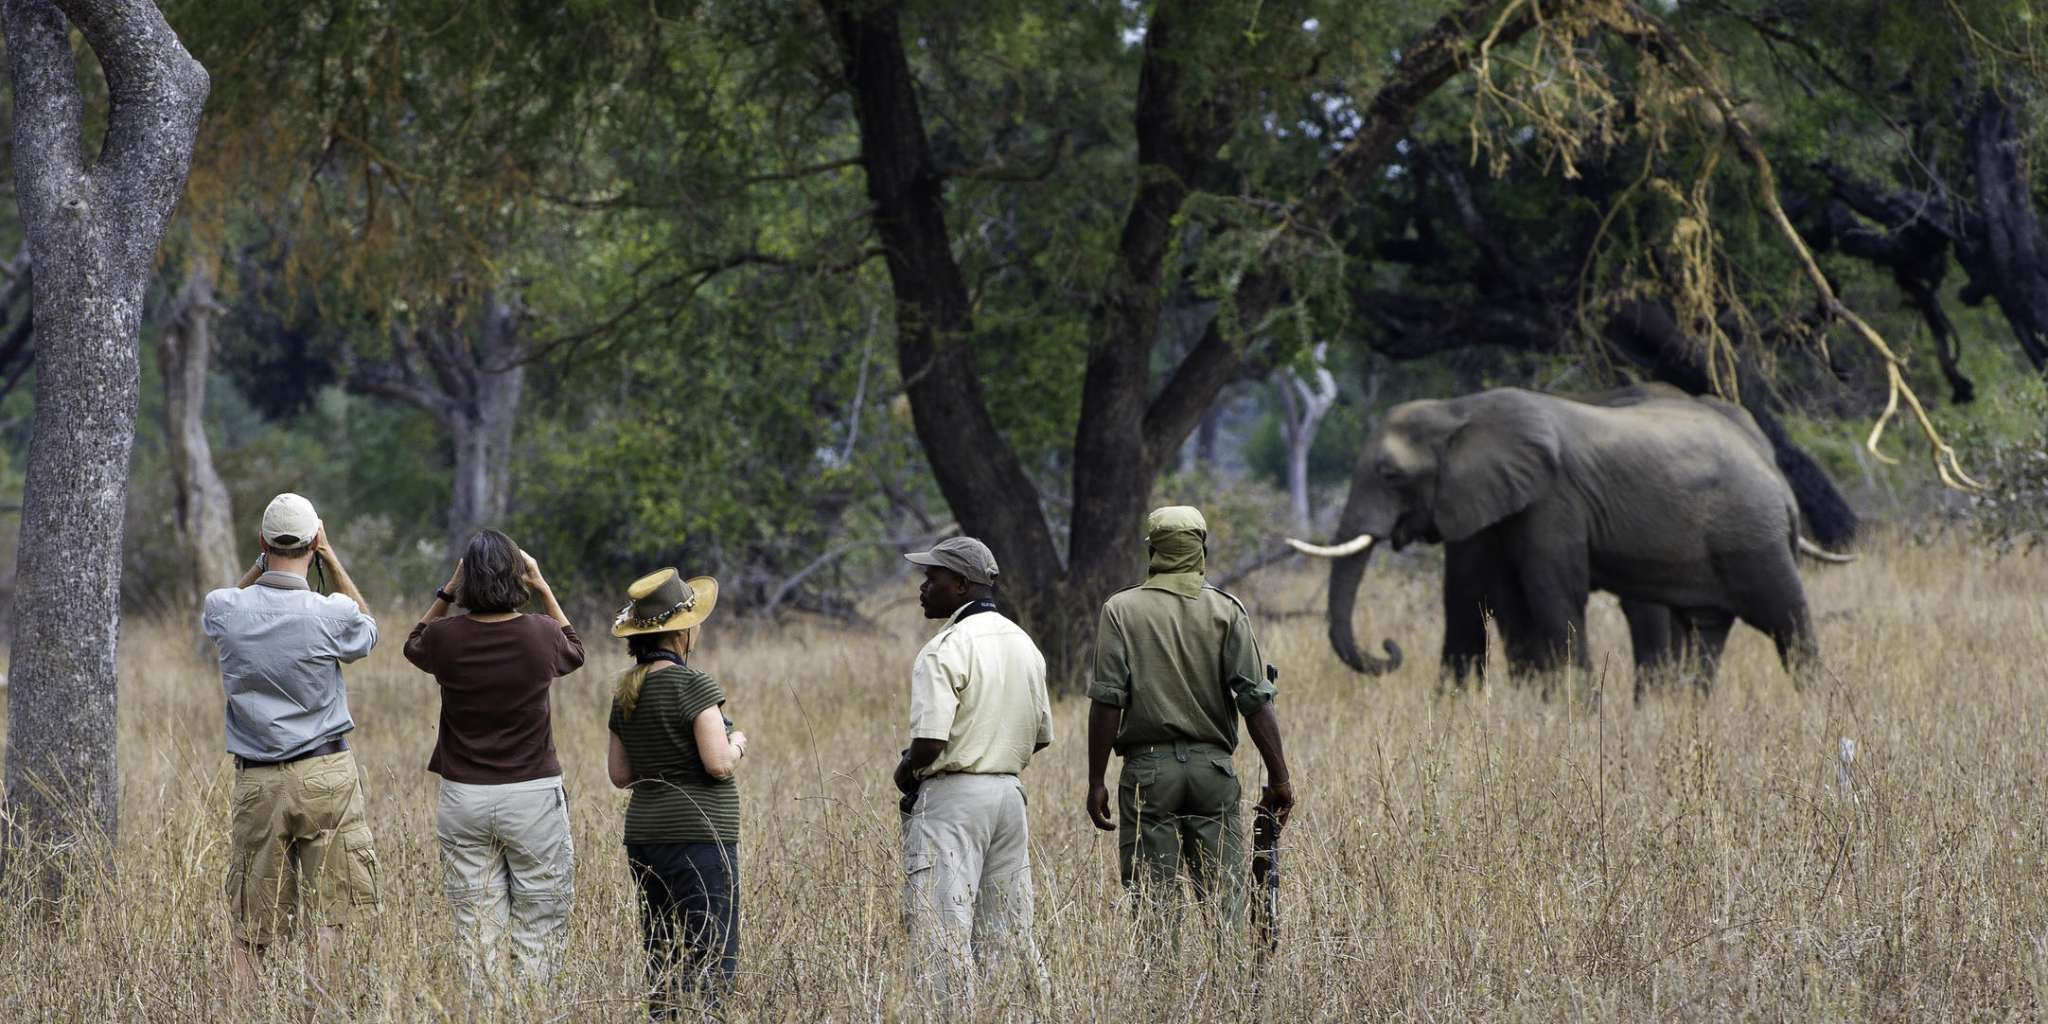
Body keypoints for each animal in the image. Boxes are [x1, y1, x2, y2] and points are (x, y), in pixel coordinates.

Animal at [1287, 384, 1850, 693]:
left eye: (1389, 475)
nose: (1388, 648)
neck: (1459, 410)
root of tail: (1775, 475)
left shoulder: (1553, 501)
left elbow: (1552, 593)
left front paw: (1574, 712)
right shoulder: (1488, 505)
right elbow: (1489, 598)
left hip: (1753, 534)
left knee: (1789, 623)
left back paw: (1820, 707)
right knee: (1706, 632)